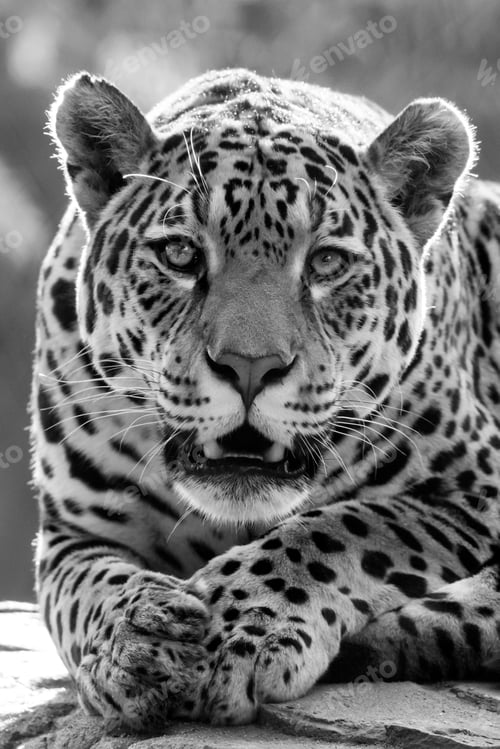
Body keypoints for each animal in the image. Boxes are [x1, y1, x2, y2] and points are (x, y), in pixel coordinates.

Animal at [31, 67, 500, 730]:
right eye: (180, 254)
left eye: (326, 261)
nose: (250, 367)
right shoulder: (71, 530)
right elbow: (85, 589)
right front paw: (135, 641)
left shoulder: (473, 485)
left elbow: (343, 528)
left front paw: (237, 624)